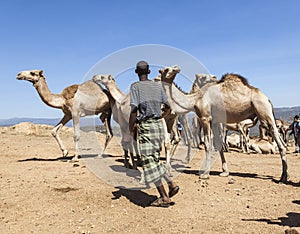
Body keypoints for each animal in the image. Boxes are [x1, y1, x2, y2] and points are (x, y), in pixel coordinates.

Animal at [159, 65, 288, 183]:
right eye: (166, 69)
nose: (177, 68)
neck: (195, 99)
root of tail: (267, 99)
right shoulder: (215, 121)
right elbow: (218, 143)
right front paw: (225, 172)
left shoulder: (205, 118)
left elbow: (207, 144)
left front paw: (205, 174)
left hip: (263, 111)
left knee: (279, 142)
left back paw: (283, 177)